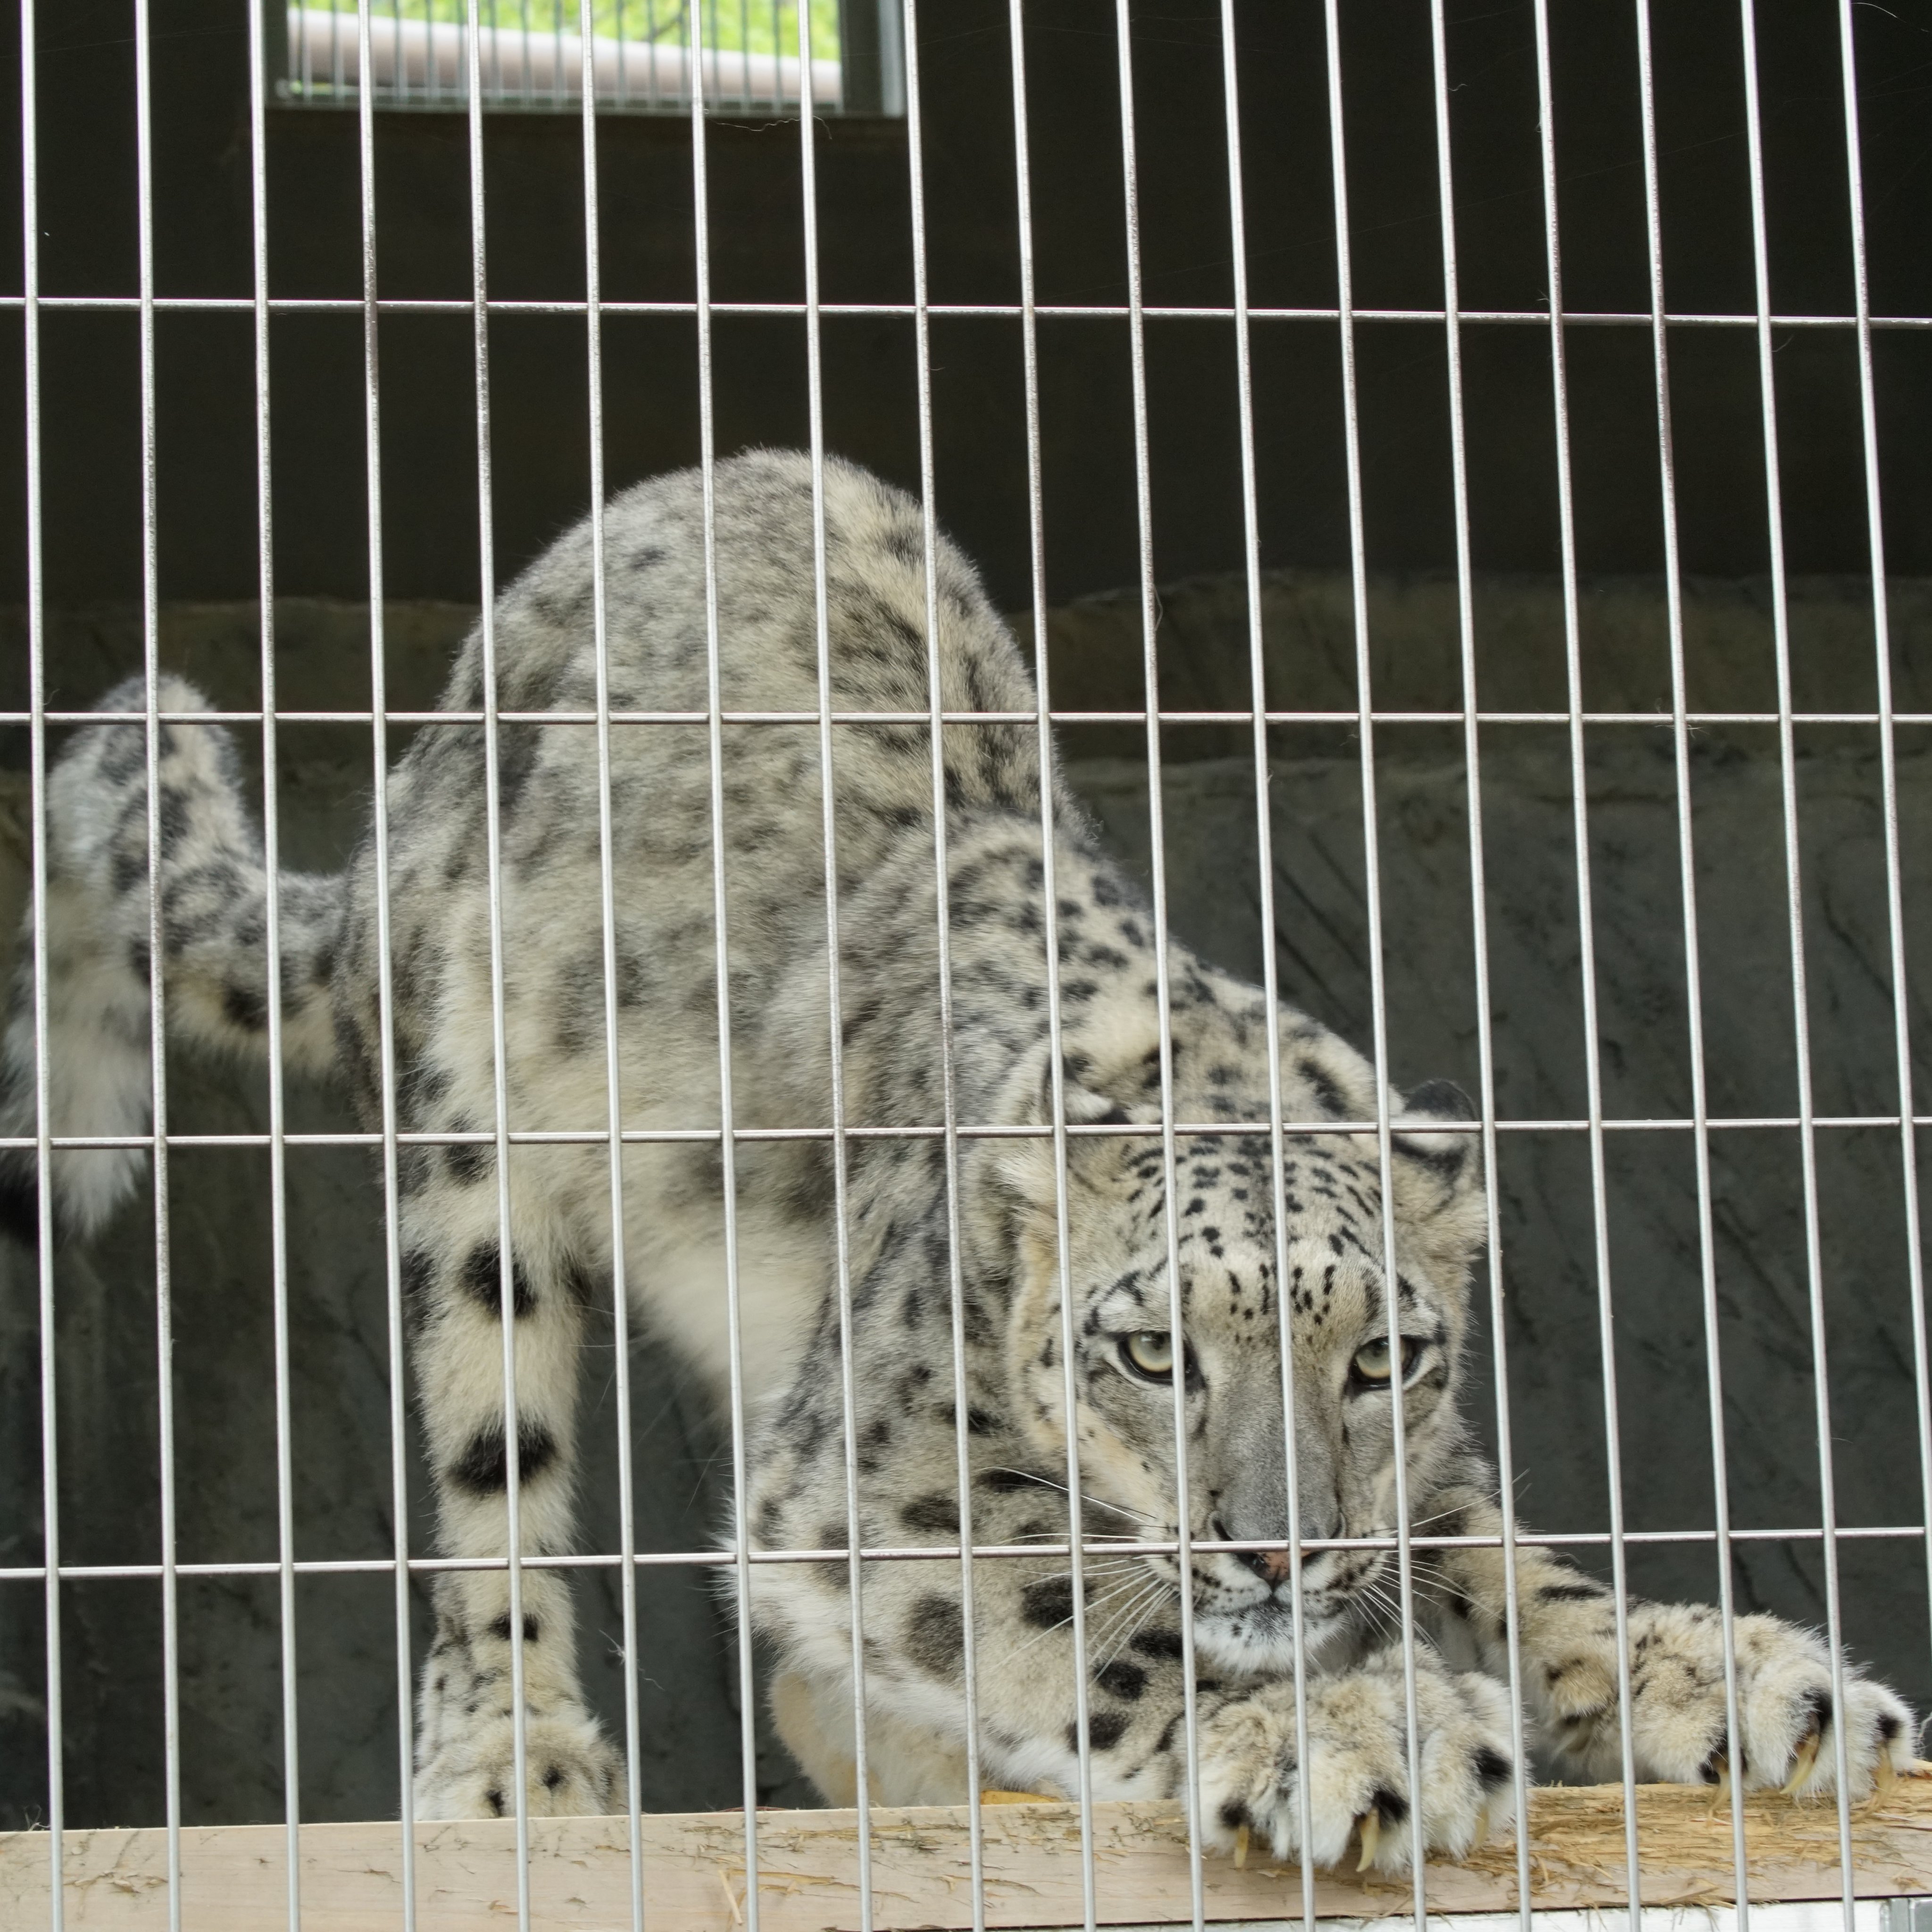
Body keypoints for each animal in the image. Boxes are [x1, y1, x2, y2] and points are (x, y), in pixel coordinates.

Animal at [4, 444, 1901, 1862]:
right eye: (1152, 1351)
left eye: (1385, 1356)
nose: (1280, 1552)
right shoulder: (880, 1464)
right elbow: (1073, 1604)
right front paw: (1358, 1729)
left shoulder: (1407, 1473)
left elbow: (1503, 1555)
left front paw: (1749, 1680)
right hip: (480, 1148)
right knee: (495, 1483)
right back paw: (515, 1760)